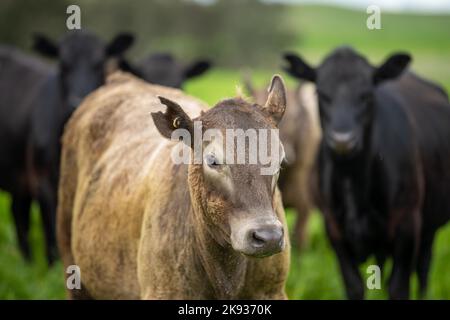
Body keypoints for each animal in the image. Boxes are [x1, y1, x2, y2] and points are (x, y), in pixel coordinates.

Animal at [0, 30, 134, 264]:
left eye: (99, 63)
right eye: (63, 65)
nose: (77, 101)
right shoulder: (43, 182)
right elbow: (53, 240)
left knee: (18, 213)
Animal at [284, 47, 450, 300]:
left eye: (367, 94)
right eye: (321, 93)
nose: (343, 141)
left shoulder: (408, 226)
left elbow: (399, 287)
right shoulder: (334, 230)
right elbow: (354, 286)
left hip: (429, 226)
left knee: (423, 268)